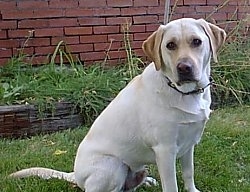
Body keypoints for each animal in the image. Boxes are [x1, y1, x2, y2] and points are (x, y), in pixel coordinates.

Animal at [9, 17, 226, 191]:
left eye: (196, 42)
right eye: (170, 45)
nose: (184, 68)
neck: (184, 92)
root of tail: (75, 174)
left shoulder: (189, 144)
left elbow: (189, 173)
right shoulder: (165, 150)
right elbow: (171, 185)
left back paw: (146, 181)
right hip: (113, 165)